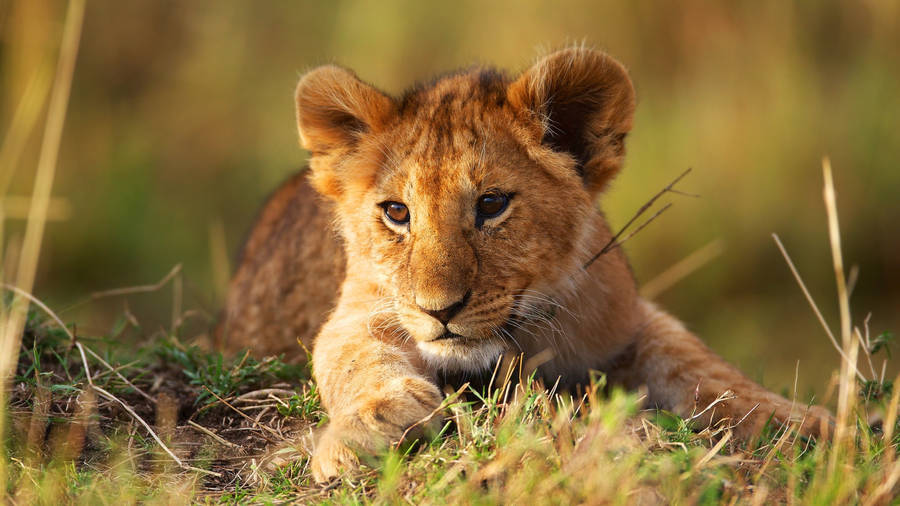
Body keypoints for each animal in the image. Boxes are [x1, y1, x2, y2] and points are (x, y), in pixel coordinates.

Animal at [218, 47, 832, 482]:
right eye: (396, 212)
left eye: (492, 204)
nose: (440, 310)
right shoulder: (360, 308)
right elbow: (354, 357)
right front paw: (365, 429)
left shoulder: (628, 319)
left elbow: (704, 367)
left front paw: (808, 423)